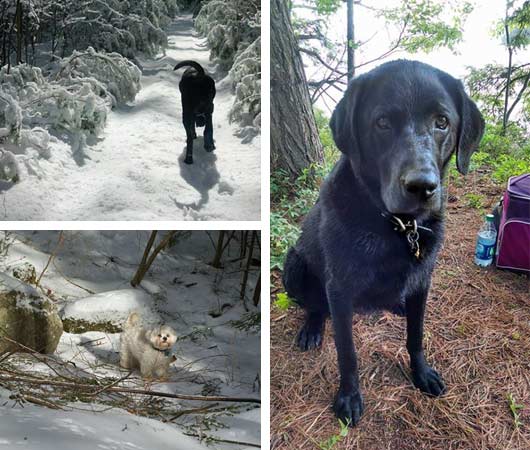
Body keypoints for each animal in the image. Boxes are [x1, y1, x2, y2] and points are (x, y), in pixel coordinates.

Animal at [282, 59, 480, 426]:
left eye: (442, 122)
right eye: (382, 122)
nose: (422, 186)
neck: (397, 226)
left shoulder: (423, 280)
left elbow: (416, 336)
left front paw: (421, 373)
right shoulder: (339, 289)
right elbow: (347, 354)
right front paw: (349, 397)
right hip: (294, 264)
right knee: (314, 305)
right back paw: (312, 327)